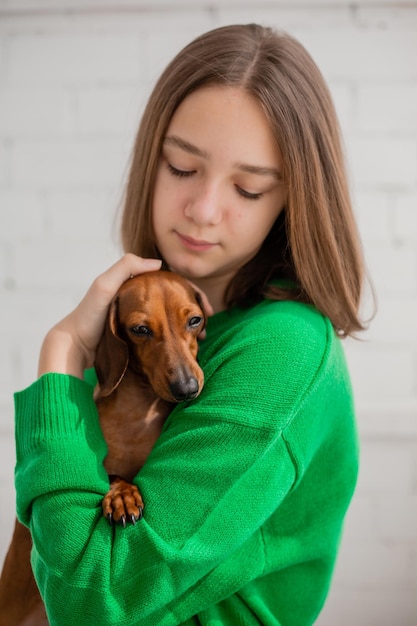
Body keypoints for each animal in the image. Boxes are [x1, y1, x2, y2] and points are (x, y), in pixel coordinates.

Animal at [0, 270, 205, 624]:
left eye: (194, 320)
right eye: (140, 329)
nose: (186, 389)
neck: (140, 411)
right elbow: (110, 475)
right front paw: (122, 496)